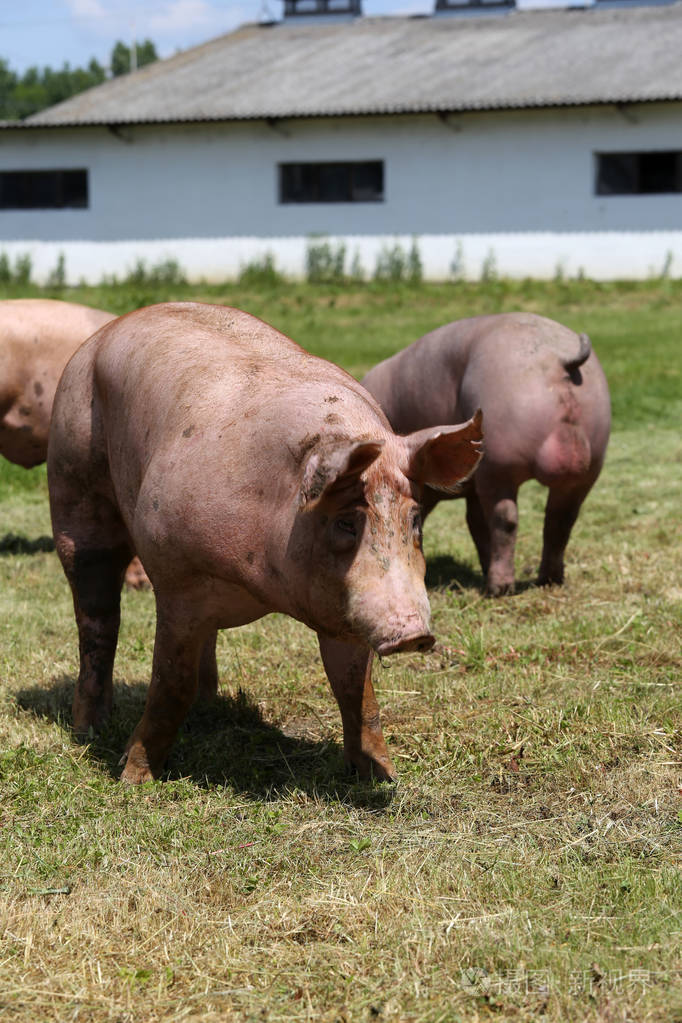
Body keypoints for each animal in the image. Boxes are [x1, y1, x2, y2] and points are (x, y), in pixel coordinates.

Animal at [48, 300, 482, 781]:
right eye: (346, 523)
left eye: (414, 519)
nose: (413, 634)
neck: (262, 583)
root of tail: (101, 335)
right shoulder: (178, 576)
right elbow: (168, 682)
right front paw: (134, 777)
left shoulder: (342, 606)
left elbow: (355, 690)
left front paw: (379, 774)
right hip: (71, 480)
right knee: (96, 618)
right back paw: (89, 728)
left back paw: (209, 706)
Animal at [366, 315, 609, 597]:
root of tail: (559, 357)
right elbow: (475, 523)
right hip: (585, 471)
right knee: (560, 520)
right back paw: (548, 580)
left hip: (498, 466)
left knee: (506, 521)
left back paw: (498, 588)